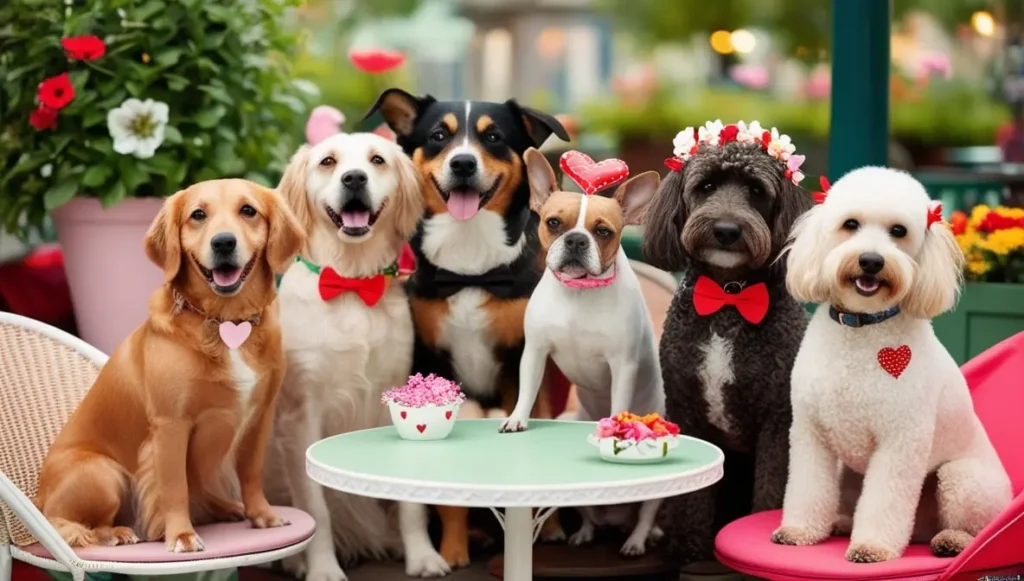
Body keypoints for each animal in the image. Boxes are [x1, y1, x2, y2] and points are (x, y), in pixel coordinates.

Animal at [35, 179, 303, 553]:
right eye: (198, 215)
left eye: (248, 210)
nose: (223, 242)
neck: (224, 319)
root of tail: (38, 497)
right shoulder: (170, 425)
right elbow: (174, 488)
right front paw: (181, 534)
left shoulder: (260, 416)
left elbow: (251, 474)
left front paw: (262, 514)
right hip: (101, 473)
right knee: (65, 525)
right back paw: (114, 532)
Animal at [260, 133, 448, 581]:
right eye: (328, 162)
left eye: (377, 160)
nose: (354, 178)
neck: (351, 283)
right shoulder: (301, 416)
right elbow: (316, 507)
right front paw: (322, 568)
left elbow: (411, 503)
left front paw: (422, 556)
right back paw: (295, 560)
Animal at [362, 88, 573, 569]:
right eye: (439, 136)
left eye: (493, 137)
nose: (462, 163)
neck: (471, 266)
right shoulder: (435, 361)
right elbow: (449, 498)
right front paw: (453, 549)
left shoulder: (518, 361)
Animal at [638, 137, 815, 569]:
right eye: (705, 187)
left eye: (756, 190)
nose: (726, 230)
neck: (728, 297)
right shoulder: (686, 408)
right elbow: (693, 499)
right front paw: (690, 550)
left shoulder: (777, 422)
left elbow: (770, 491)